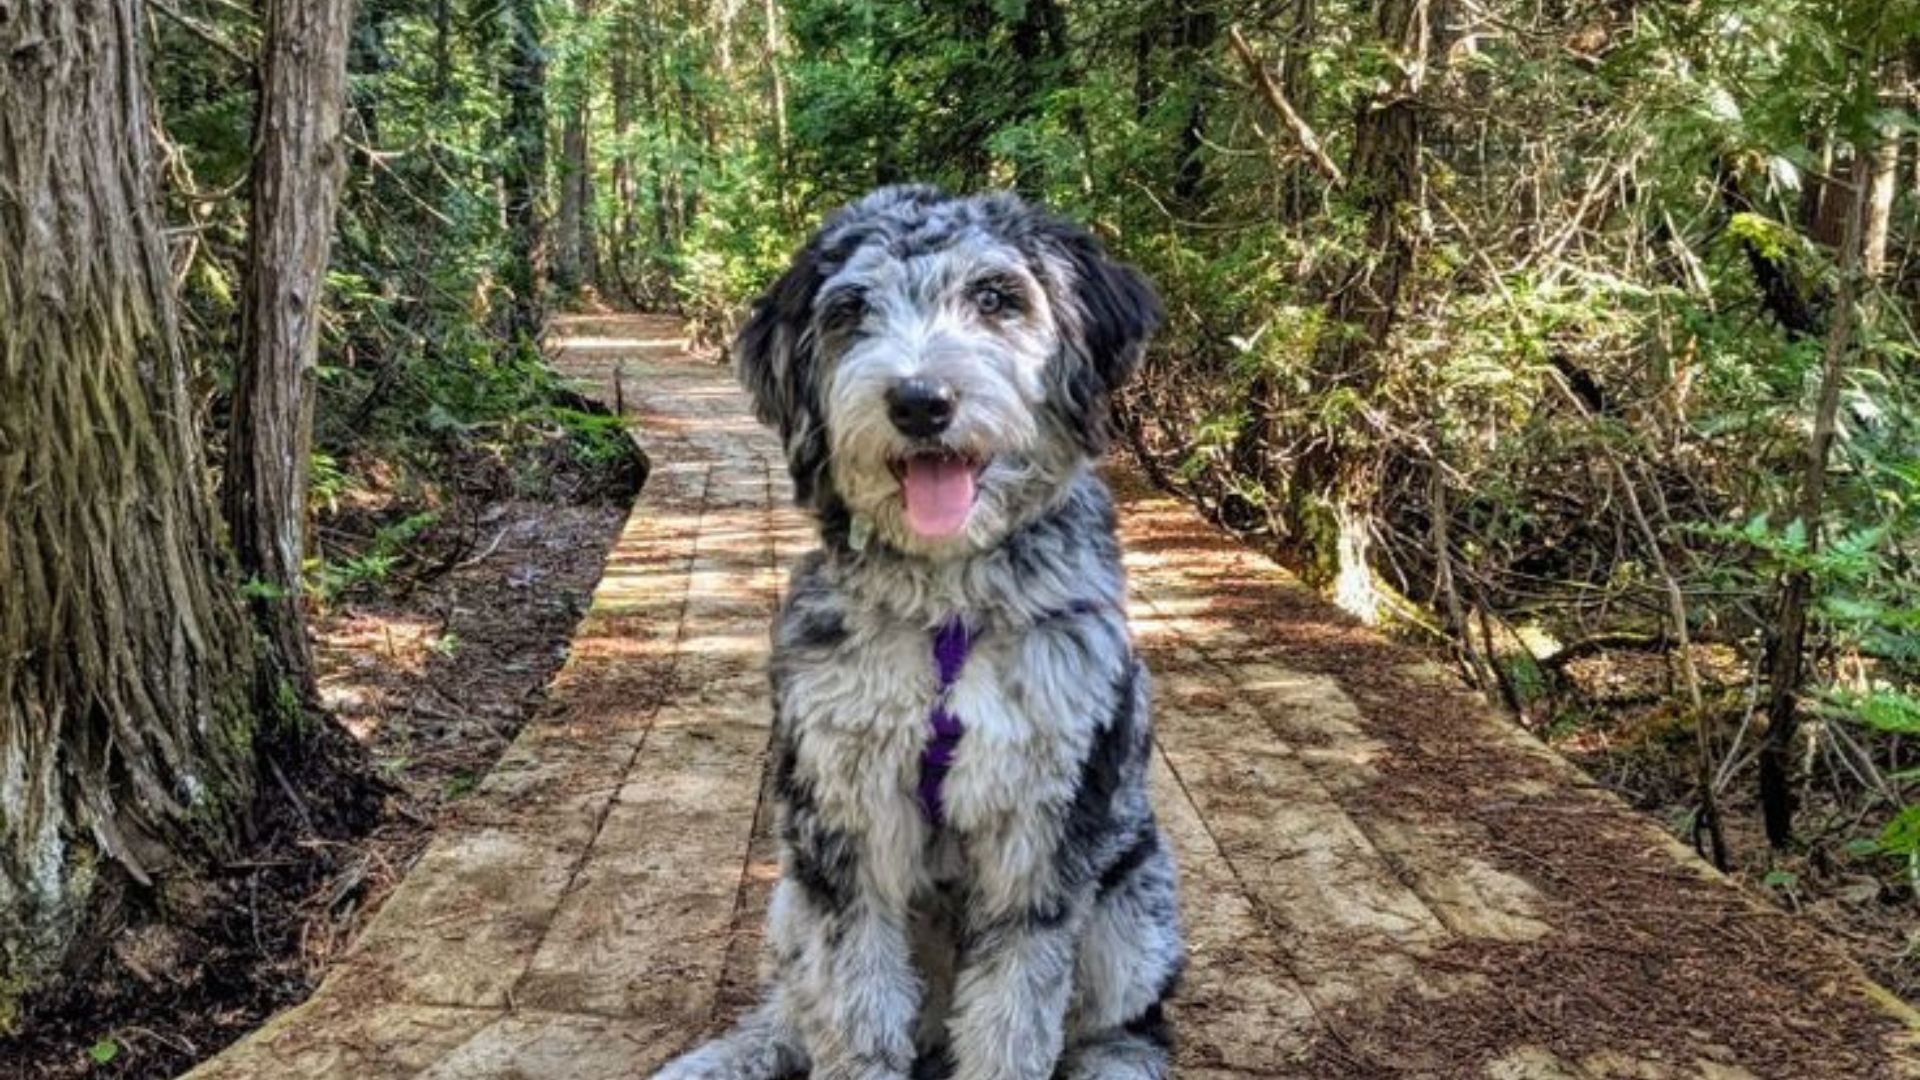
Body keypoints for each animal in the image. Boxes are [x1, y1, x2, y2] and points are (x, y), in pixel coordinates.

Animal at [652, 187, 1175, 1076]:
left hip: (1134, 909)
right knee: (796, 1006)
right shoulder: (840, 820)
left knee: (1128, 1022)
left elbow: (1014, 1016)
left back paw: (1117, 1061)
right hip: (788, 895)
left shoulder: (1041, 825)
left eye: (997, 298)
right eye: (851, 310)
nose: (921, 402)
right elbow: (851, 1005)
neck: (948, 605)